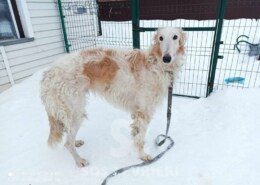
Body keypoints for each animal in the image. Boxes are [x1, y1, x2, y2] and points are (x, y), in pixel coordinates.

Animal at [40, 27, 186, 168]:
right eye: (161, 38)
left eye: (175, 37)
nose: (166, 58)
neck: (155, 64)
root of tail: (48, 74)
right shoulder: (143, 112)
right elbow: (140, 139)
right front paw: (143, 156)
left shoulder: (137, 113)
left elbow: (135, 134)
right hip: (75, 112)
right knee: (67, 143)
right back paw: (79, 161)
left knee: (68, 136)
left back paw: (77, 142)